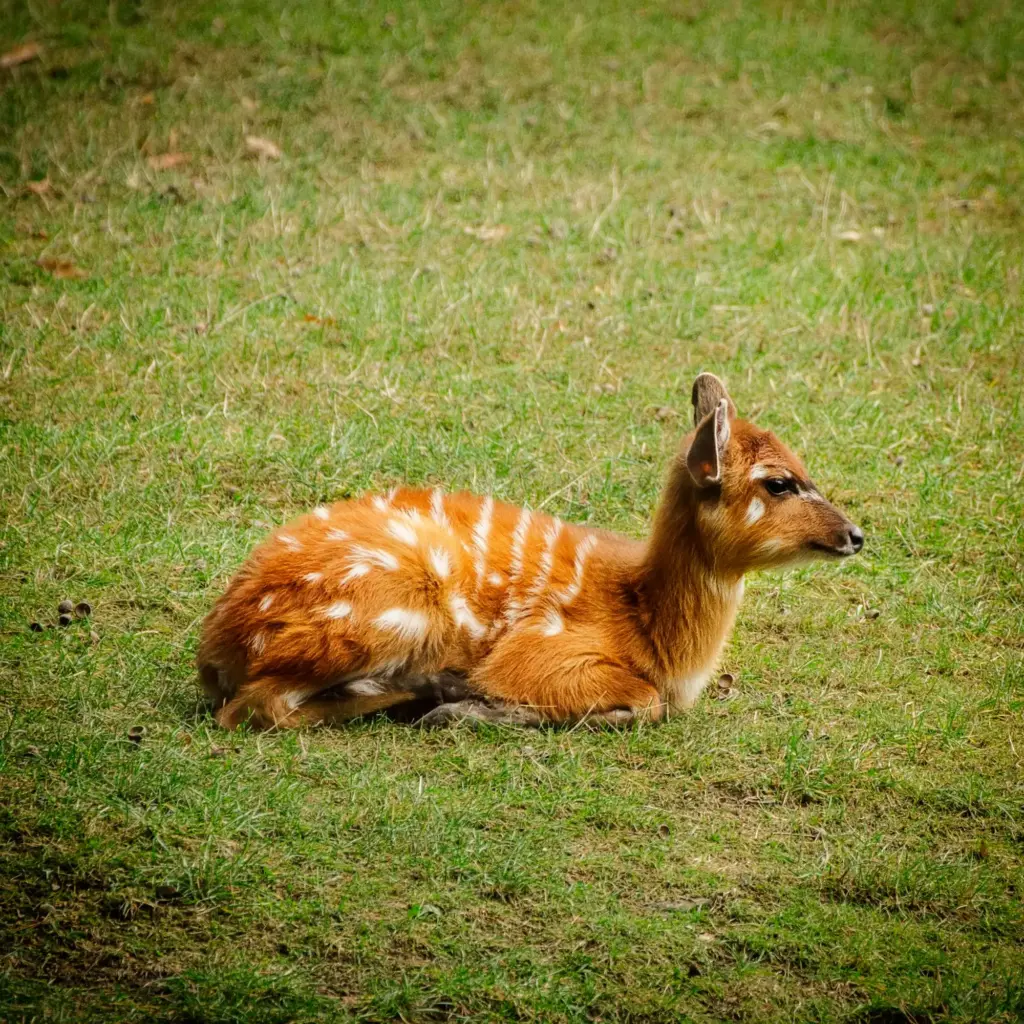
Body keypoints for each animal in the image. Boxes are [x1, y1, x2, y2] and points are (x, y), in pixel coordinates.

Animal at [198, 373, 863, 730]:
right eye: (779, 482)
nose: (856, 535)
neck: (652, 628)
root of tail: (217, 644)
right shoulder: (545, 653)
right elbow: (642, 701)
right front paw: (472, 706)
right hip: (393, 608)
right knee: (256, 709)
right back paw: (431, 694)